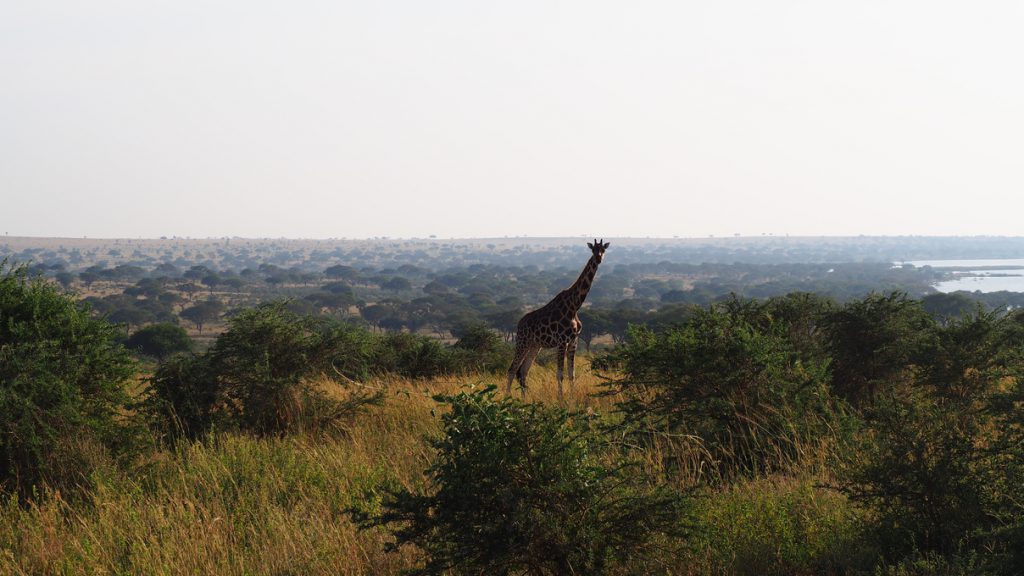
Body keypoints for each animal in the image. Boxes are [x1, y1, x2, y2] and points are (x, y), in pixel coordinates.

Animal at [506, 239, 609, 400]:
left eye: (603, 250)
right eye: (593, 250)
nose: (598, 259)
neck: (574, 306)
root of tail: (519, 324)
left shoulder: (573, 341)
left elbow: (571, 374)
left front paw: (572, 396)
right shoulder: (562, 341)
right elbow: (560, 374)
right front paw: (561, 399)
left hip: (534, 346)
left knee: (523, 371)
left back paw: (524, 399)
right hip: (522, 342)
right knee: (512, 369)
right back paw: (507, 398)